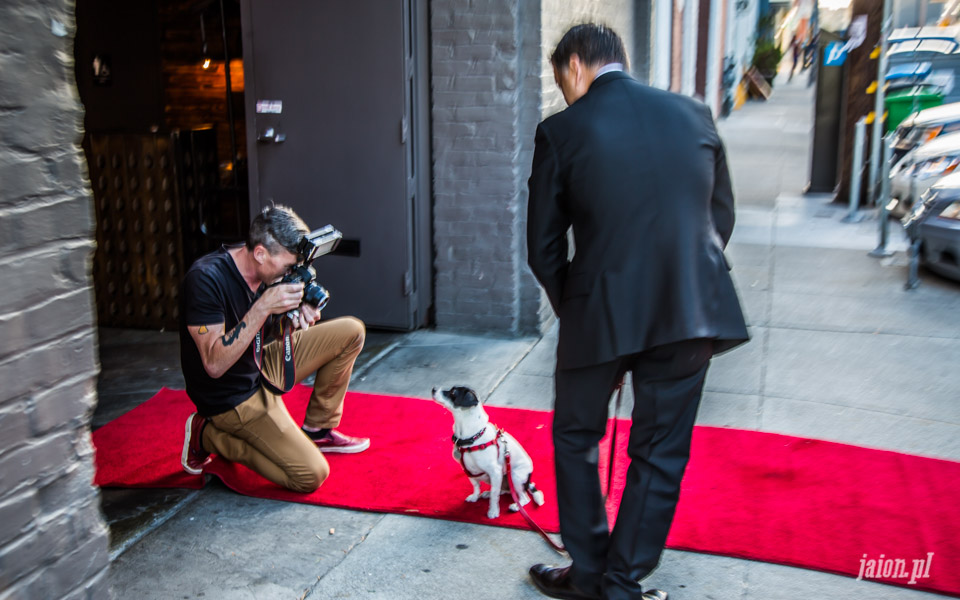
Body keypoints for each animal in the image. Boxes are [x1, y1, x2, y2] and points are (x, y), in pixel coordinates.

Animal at [432, 386, 544, 516]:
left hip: (515, 476)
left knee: (523, 497)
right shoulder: (468, 470)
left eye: (453, 393)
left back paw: (516, 505)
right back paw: (488, 493)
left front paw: (493, 511)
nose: (433, 389)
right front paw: (475, 497)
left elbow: (495, 496)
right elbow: (476, 486)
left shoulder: (495, 471)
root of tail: (528, 481)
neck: (472, 437)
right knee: (505, 490)